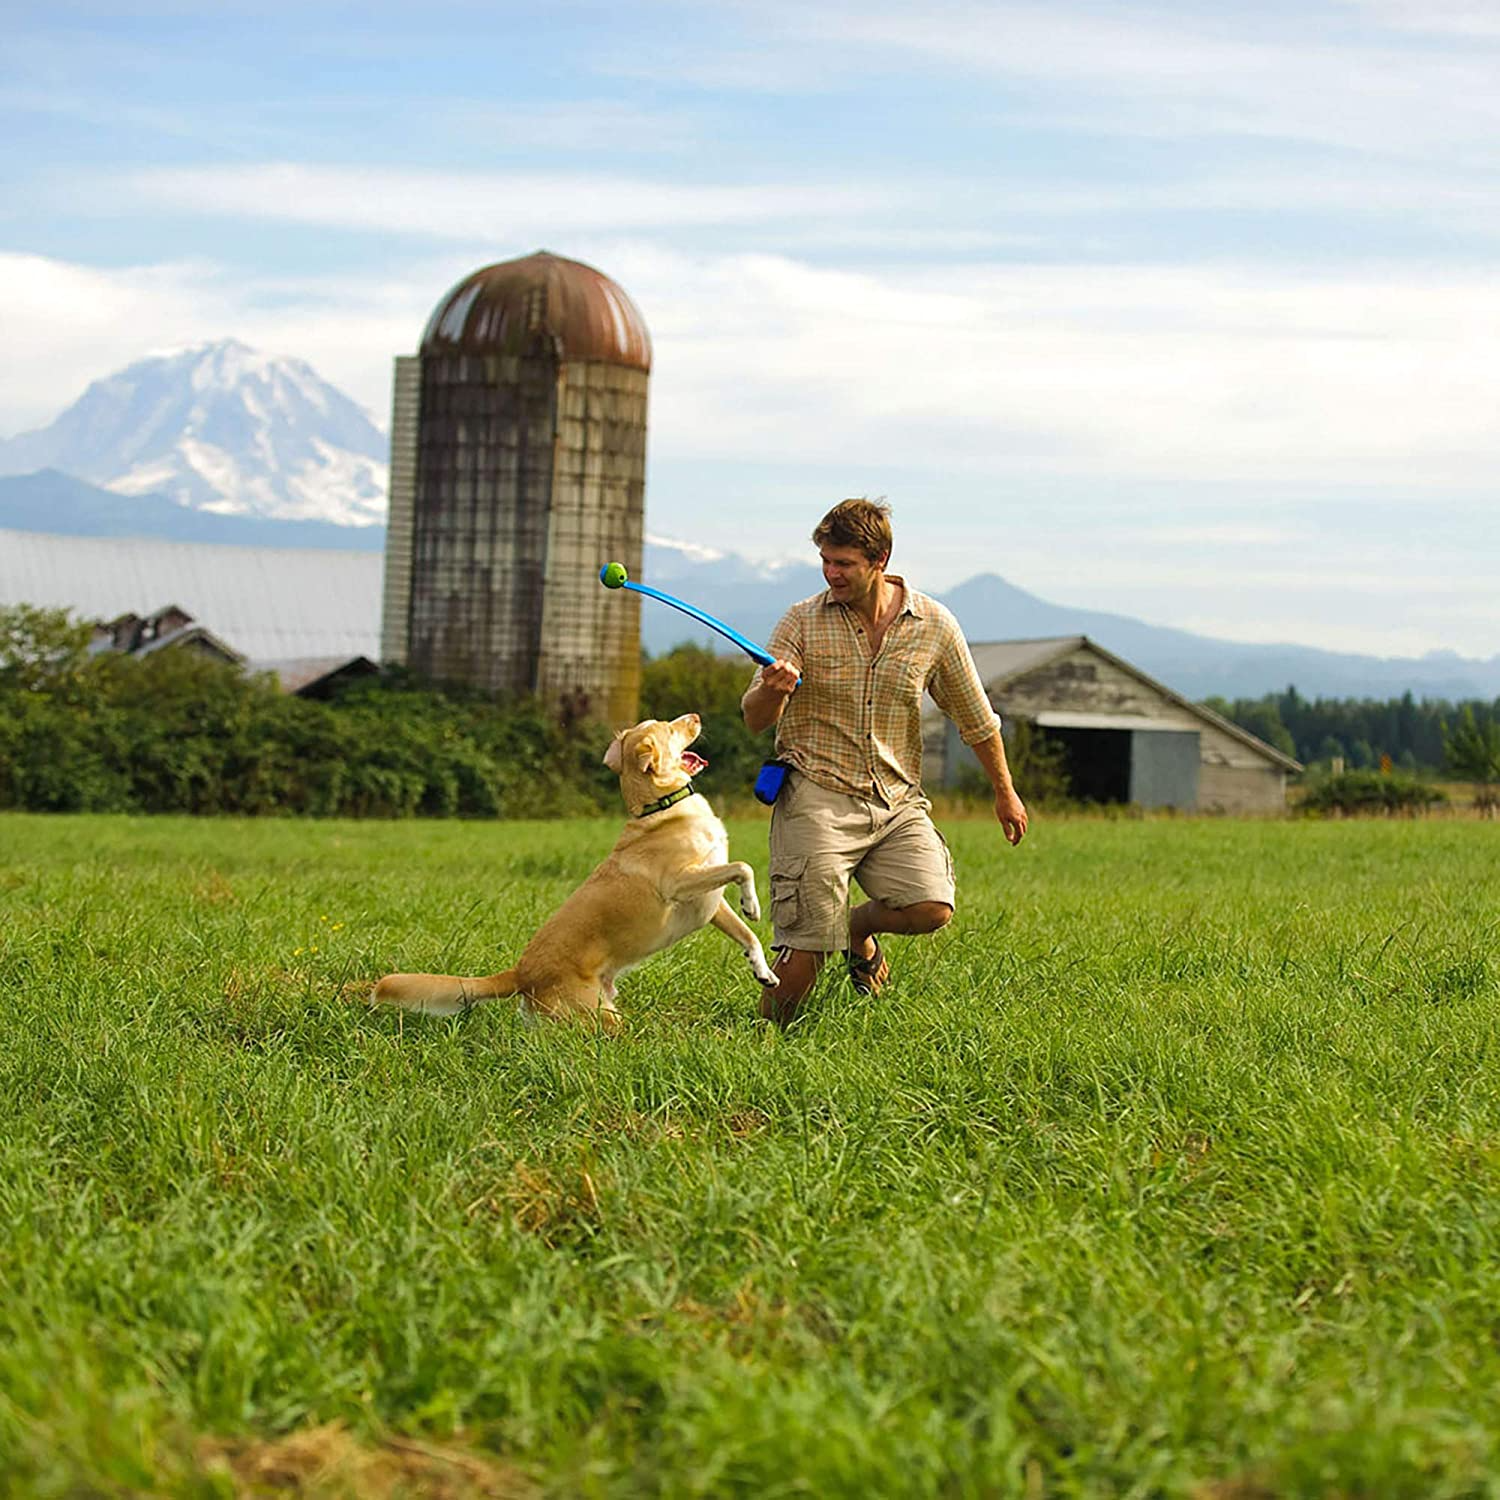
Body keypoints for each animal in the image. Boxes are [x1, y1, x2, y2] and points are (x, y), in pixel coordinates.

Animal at [372, 717, 774, 1032]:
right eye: (669, 728)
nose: (695, 716)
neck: (662, 807)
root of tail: (521, 973)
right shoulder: (680, 882)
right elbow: (743, 867)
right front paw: (753, 903)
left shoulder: (711, 901)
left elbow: (747, 934)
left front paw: (763, 970)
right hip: (597, 1014)